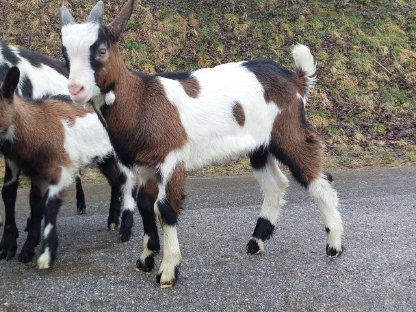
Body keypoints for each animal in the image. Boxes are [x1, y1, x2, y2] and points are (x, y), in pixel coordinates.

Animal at [0, 40, 136, 262]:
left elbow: (35, 202)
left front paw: (27, 246)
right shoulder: (13, 159)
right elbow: (9, 193)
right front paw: (8, 246)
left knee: (128, 181)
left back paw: (124, 227)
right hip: (103, 155)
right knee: (116, 181)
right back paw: (112, 221)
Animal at [59, 0, 344, 288]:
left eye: (101, 50)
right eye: (65, 54)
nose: (75, 89)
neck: (141, 101)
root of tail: (296, 79)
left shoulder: (171, 157)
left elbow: (164, 208)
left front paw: (168, 270)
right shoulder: (145, 166)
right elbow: (144, 205)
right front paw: (146, 259)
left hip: (288, 132)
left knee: (318, 179)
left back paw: (334, 244)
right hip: (260, 146)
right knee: (276, 184)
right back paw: (256, 241)